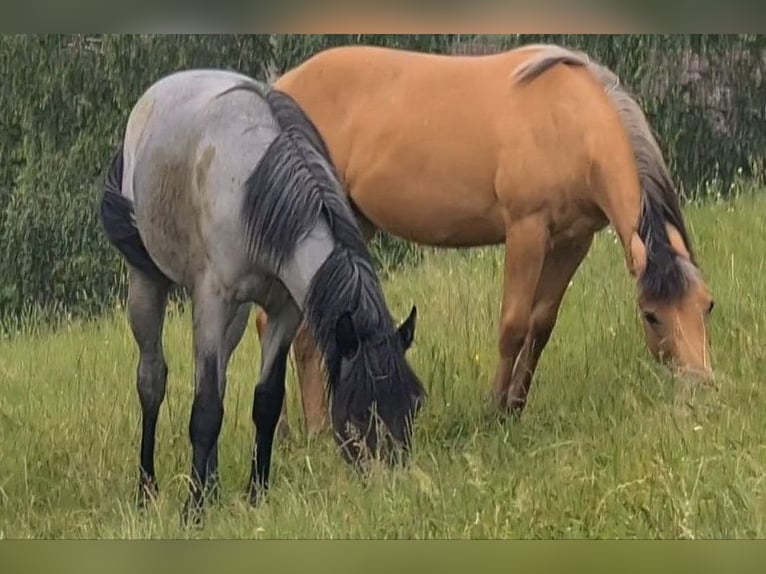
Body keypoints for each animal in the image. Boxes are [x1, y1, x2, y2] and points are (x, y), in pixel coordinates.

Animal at [100, 70, 426, 524]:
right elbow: (205, 410)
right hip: (148, 283)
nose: (392, 490)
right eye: (359, 411)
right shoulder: (213, 301)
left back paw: (212, 485)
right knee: (152, 380)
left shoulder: (285, 309)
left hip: (235, 317)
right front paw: (193, 509)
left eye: (415, 403)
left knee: (217, 379)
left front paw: (255, 495)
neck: (254, 192)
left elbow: (265, 402)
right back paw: (148, 491)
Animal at [258, 42, 712, 434]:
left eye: (706, 304)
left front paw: (515, 408)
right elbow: (512, 325)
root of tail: (276, 89)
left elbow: (540, 325)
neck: (567, 119)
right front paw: (494, 412)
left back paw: (296, 431)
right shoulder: (526, 230)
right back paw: (310, 430)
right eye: (651, 315)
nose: (701, 387)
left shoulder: (572, 242)